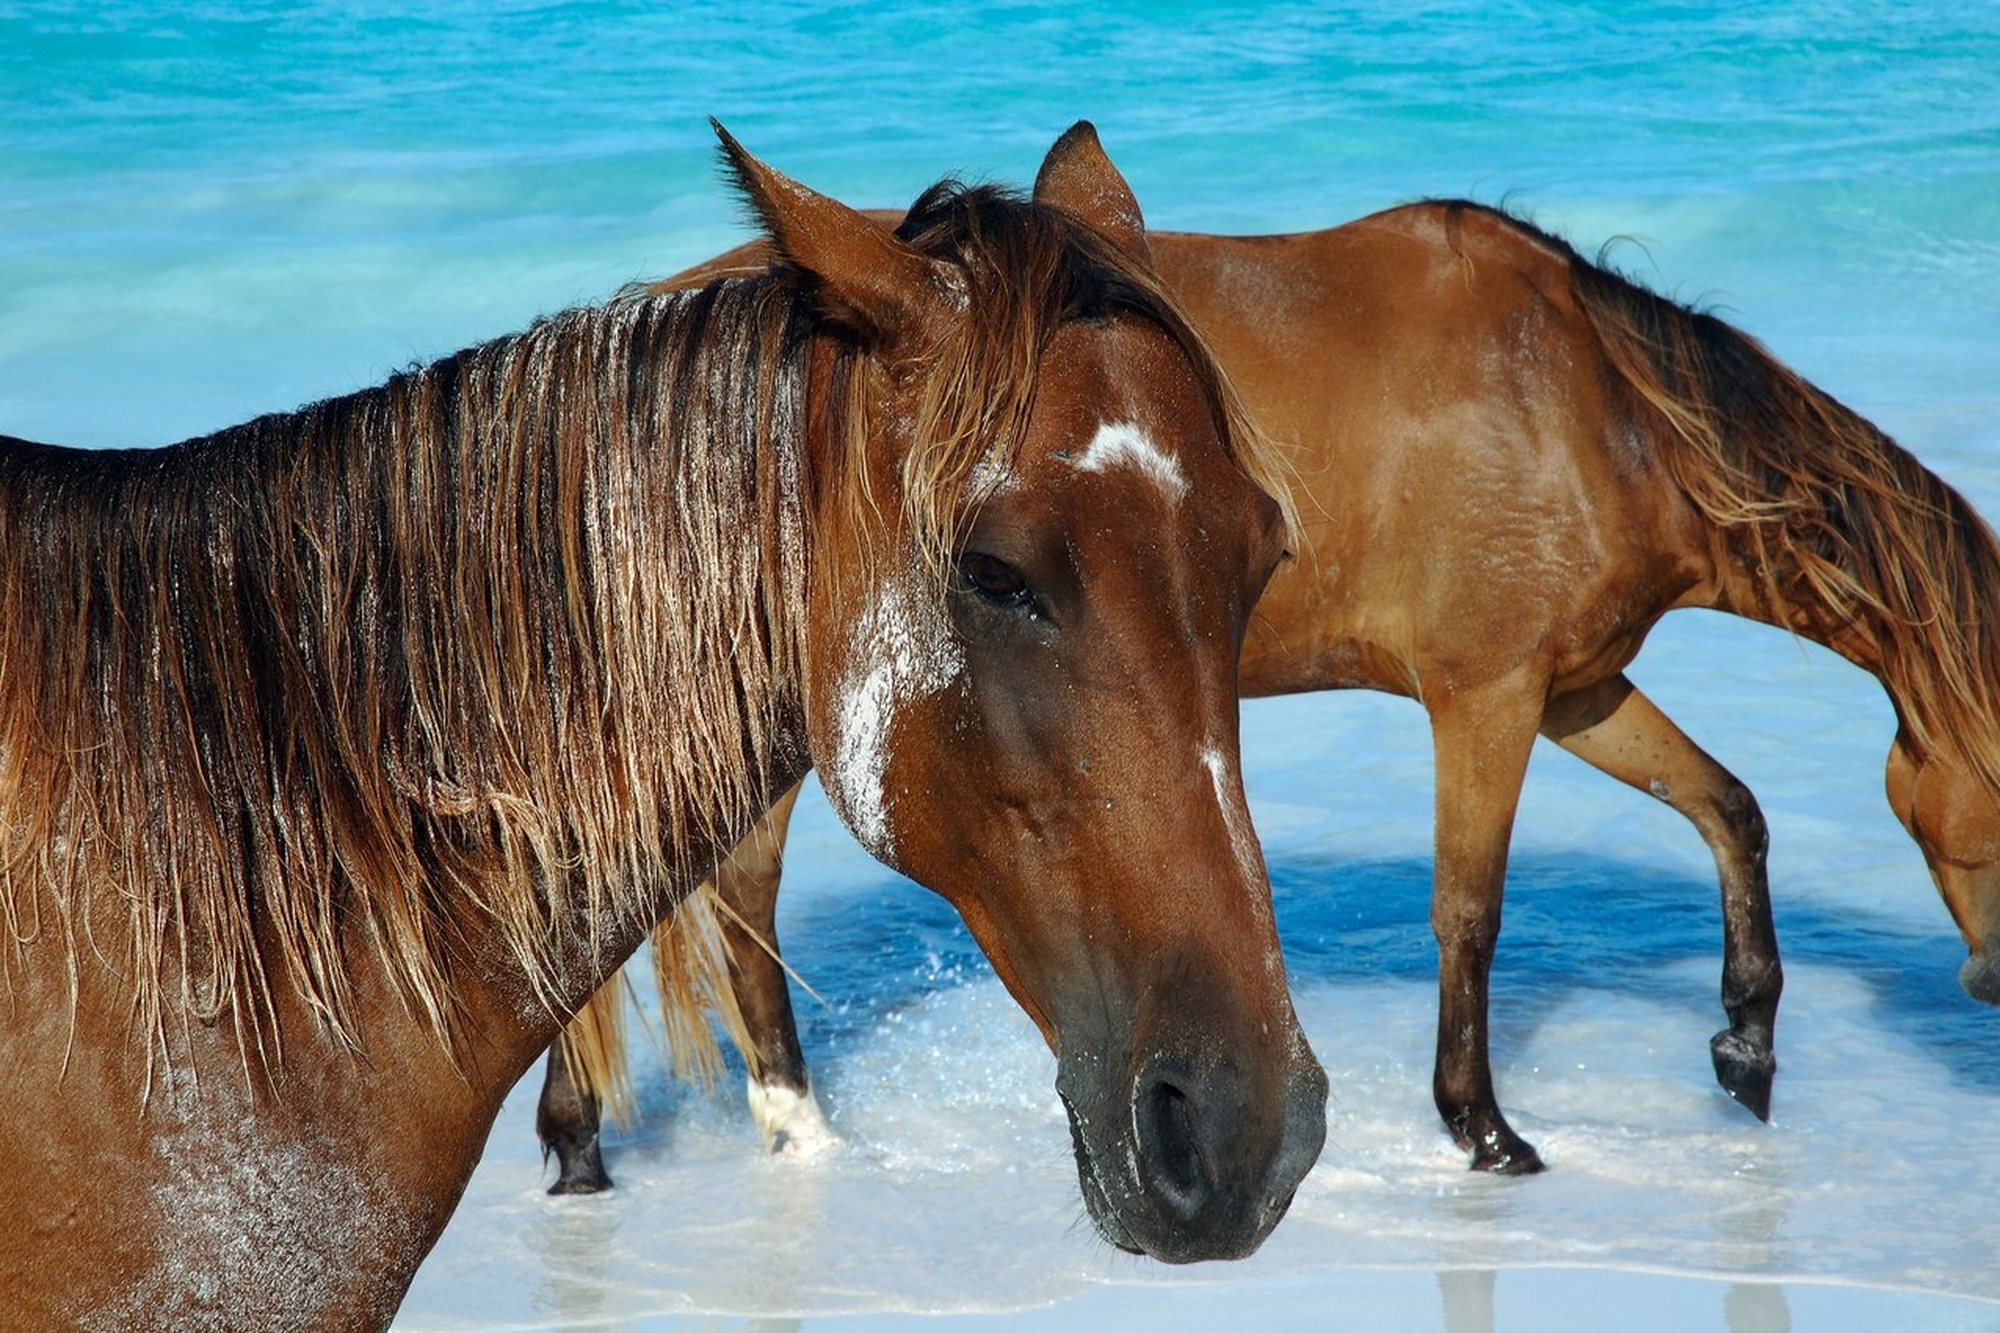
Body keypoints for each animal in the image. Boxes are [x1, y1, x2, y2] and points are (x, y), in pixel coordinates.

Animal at [542, 187, 2000, 1183]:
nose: (1988, 986)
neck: (1592, 407)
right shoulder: (1487, 694)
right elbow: (1468, 911)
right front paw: (1481, 1126)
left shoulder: (1577, 691)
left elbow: (1728, 809)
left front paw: (1745, 1048)